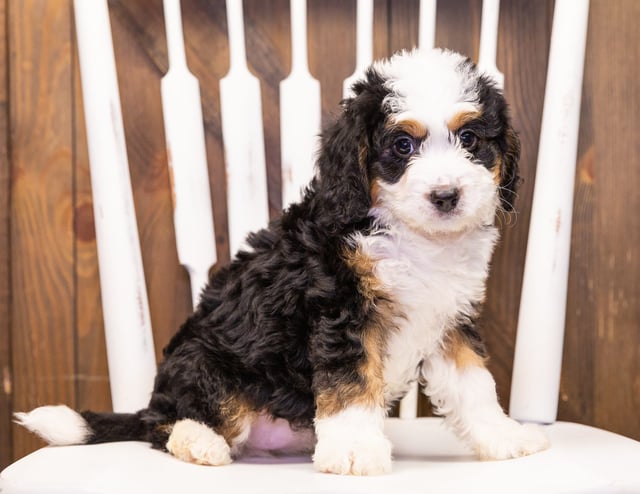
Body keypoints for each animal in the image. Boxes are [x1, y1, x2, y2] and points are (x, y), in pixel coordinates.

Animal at [18, 49, 552, 474]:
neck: (411, 236)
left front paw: (506, 437)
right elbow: (351, 382)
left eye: (471, 140)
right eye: (403, 145)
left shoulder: (449, 318)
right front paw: (355, 450)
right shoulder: (341, 309)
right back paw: (200, 443)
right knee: (167, 423)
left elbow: (473, 384)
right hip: (202, 366)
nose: (446, 196)